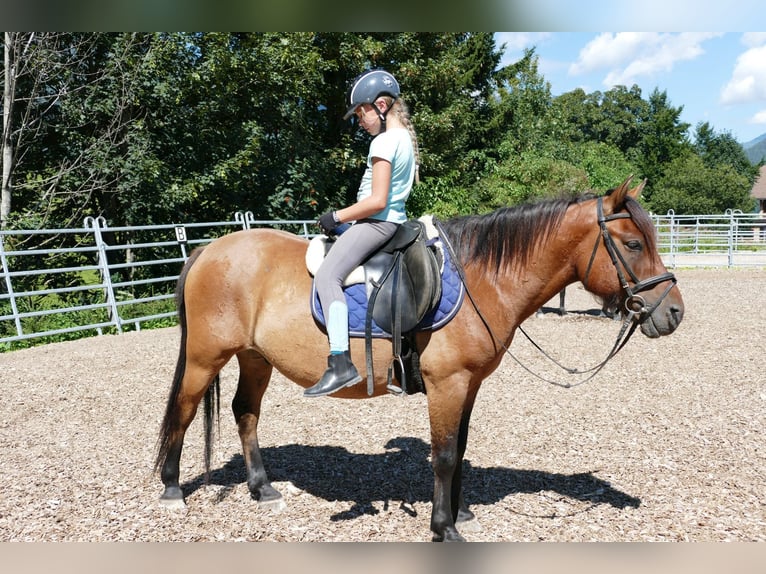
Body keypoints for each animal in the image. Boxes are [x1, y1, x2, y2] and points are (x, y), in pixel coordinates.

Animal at [154, 177, 684, 544]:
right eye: (634, 244)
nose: (674, 312)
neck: (481, 278)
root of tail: (207, 249)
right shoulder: (447, 383)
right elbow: (444, 455)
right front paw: (444, 526)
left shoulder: (469, 384)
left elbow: (460, 449)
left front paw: (461, 511)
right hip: (205, 357)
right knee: (183, 412)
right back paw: (172, 489)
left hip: (255, 358)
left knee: (245, 414)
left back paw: (262, 489)